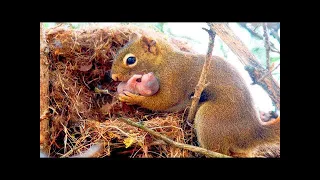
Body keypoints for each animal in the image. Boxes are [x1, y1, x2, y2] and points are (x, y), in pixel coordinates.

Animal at [110, 32, 280, 158]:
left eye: (131, 60)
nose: (114, 77)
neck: (164, 62)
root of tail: (252, 132)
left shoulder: (173, 78)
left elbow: (164, 101)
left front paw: (133, 98)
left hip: (210, 118)